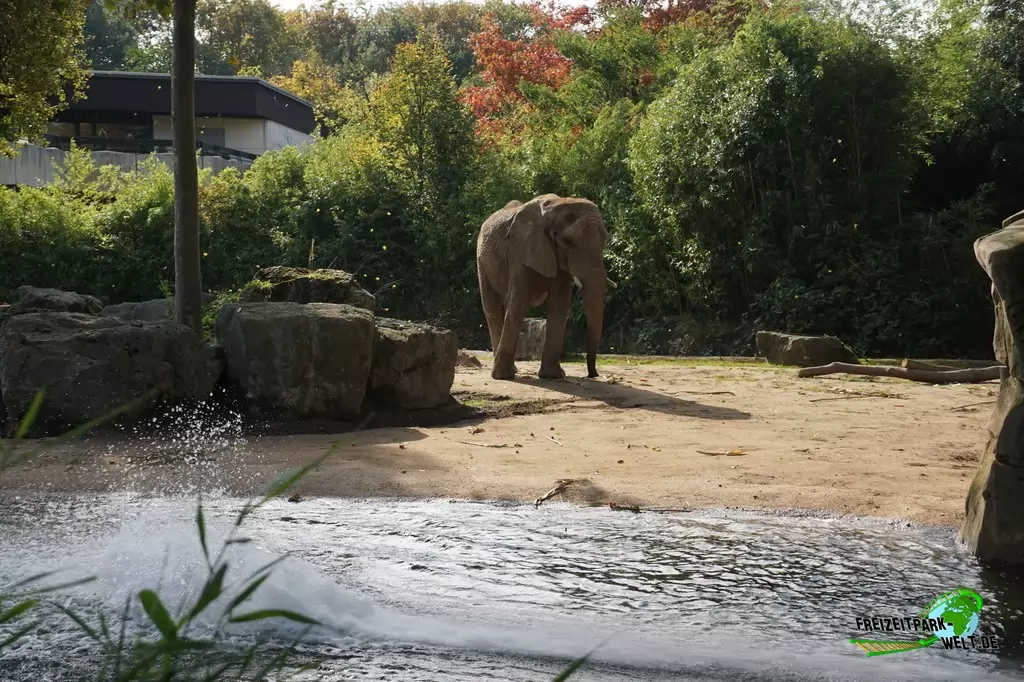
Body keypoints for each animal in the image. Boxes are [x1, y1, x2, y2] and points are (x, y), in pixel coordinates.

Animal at [476, 193, 610, 381]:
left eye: (605, 240)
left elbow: (559, 305)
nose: (592, 375)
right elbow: (518, 304)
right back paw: (508, 372)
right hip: (482, 262)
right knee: (493, 308)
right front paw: (503, 377)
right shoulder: (519, 252)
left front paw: (552, 376)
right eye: (567, 242)